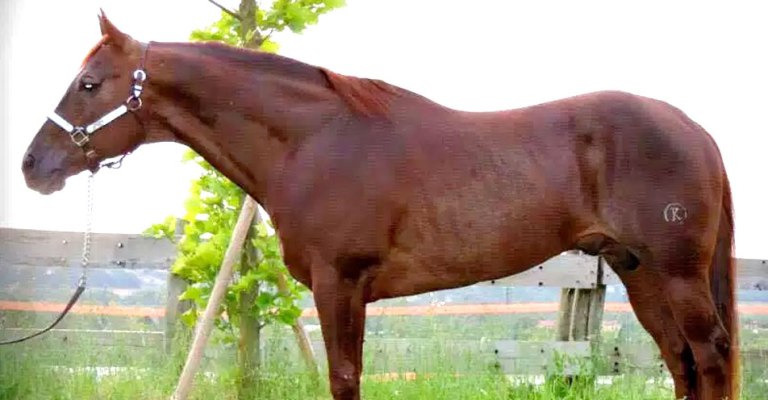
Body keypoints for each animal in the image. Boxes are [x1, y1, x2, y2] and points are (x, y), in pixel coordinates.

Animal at [20, 11, 739, 400]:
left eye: (89, 84)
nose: (33, 166)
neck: (315, 140)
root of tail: (694, 130)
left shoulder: (340, 284)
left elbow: (343, 377)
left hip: (675, 273)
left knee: (709, 356)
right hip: (639, 272)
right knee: (681, 360)